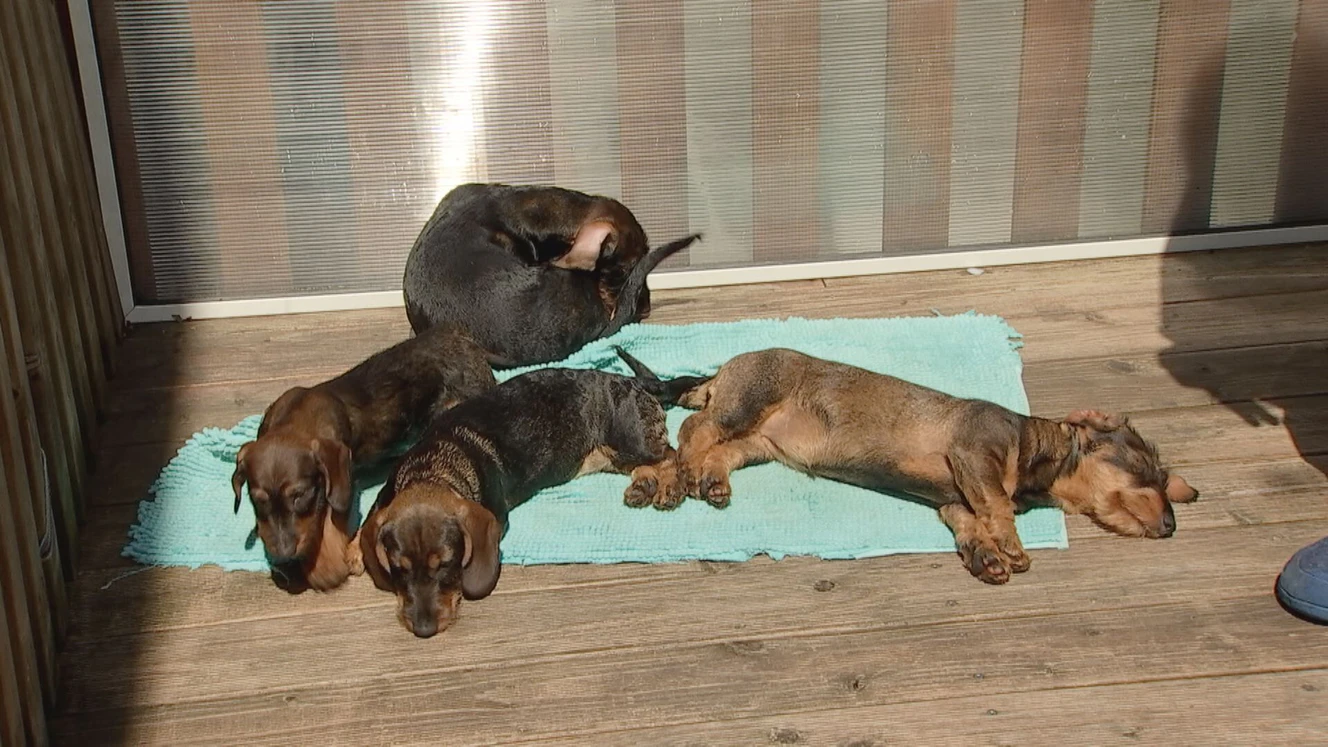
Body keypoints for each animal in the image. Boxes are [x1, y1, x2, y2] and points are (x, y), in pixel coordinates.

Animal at [232, 325, 497, 593]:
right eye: (257, 500)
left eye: (300, 495)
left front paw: (326, 568)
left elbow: (329, 523)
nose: (282, 560)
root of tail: (471, 346)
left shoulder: (341, 482)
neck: (297, 417)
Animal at [353, 352, 701, 637]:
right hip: (613, 453)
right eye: (398, 568)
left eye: (447, 565)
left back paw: (668, 487)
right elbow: (364, 528)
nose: (423, 630)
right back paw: (644, 486)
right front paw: (353, 551)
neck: (435, 468)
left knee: (670, 454)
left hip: (630, 439)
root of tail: (632, 381)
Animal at [624, 348, 1198, 585]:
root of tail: (723, 368)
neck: (1031, 444)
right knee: (692, 434)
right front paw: (1011, 547)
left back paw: (710, 480)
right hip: (748, 400)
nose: (1172, 526)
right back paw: (672, 481)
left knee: (716, 450)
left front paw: (986, 557)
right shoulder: (974, 454)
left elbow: (970, 522)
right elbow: (997, 505)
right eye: (1143, 469)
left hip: (758, 441)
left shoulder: (953, 499)